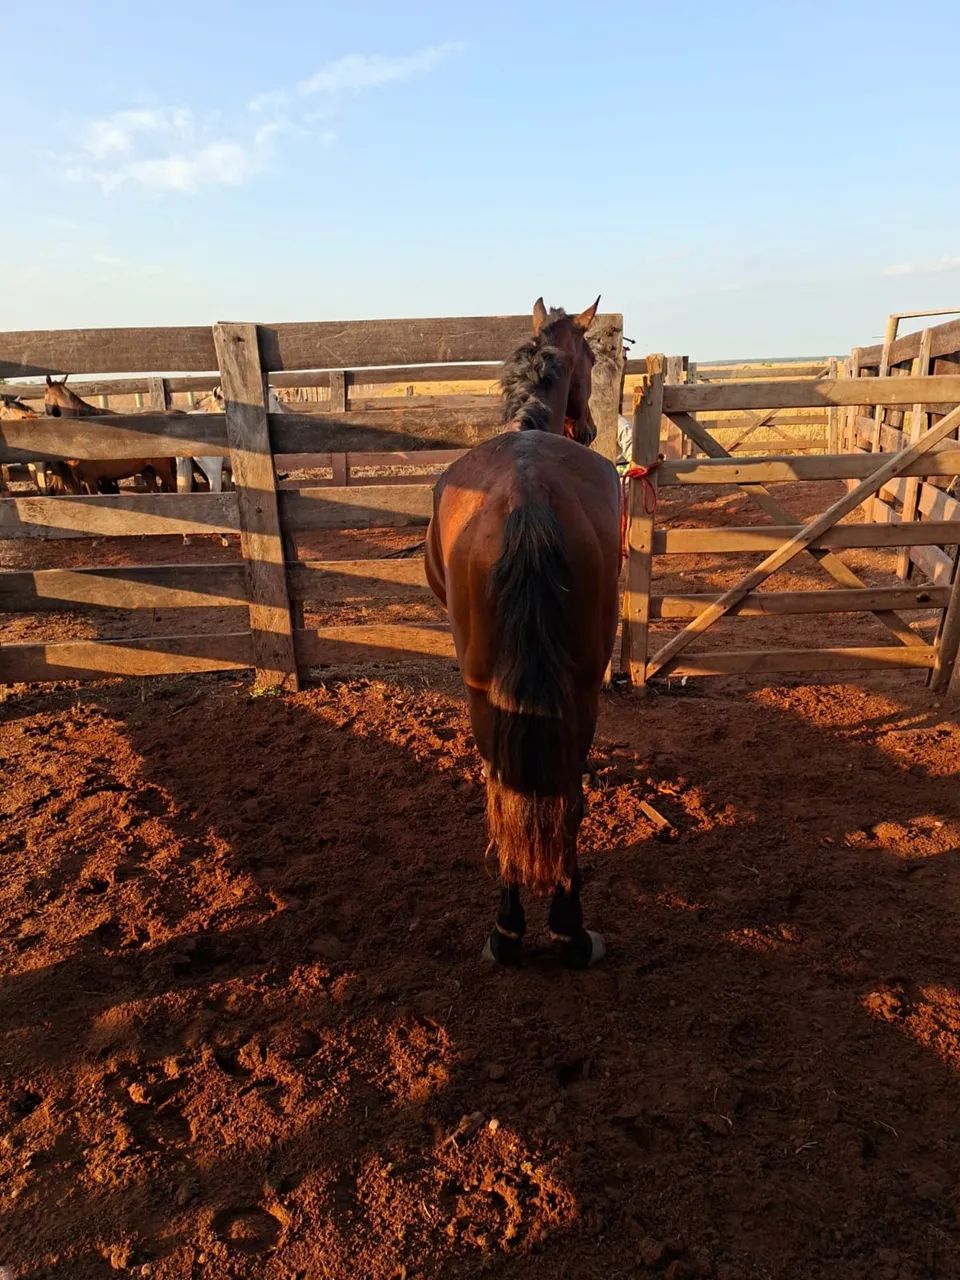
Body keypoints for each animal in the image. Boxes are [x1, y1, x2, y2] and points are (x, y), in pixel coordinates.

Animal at [424, 297, 621, 969]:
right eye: (590, 358)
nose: (588, 428)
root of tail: (527, 492)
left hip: (489, 687)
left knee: (507, 787)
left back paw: (519, 930)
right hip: (576, 688)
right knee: (557, 793)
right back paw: (559, 929)